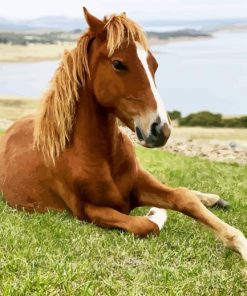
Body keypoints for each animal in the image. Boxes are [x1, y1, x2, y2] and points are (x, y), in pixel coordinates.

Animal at [0, 6, 247, 260]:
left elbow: (183, 196)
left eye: (154, 64)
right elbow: (147, 225)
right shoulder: (88, 210)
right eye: (118, 64)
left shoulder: (139, 181)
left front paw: (239, 242)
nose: (161, 129)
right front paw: (154, 212)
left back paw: (214, 199)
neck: (100, 156)